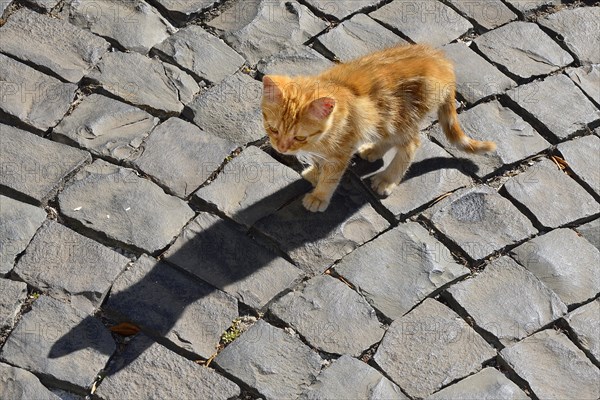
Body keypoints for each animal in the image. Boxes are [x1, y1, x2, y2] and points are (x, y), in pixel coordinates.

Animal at [262, 43, 496, 212]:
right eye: (273, 130)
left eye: (299, 137)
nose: (281, 148)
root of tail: (442, 62)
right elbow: (320, 162)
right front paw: (315, 172)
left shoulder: (342, 148)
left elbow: (331, 175)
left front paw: (319, 196)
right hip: (386, 119)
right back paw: (373, 150)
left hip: (402, 118)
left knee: (412, 144)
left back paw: (387, 180)